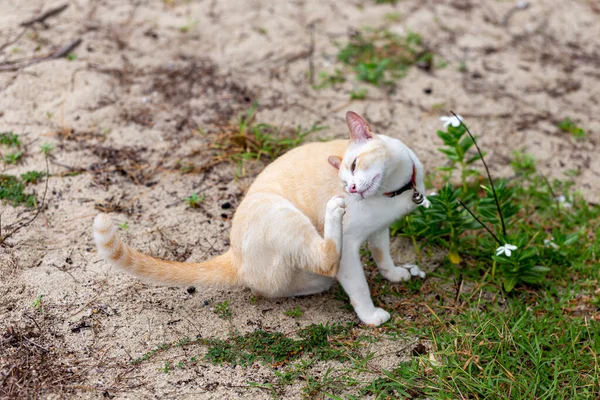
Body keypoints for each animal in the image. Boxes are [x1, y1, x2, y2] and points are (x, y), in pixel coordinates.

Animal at [94, 111, 426, 326]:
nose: (352, 190)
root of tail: (234, 257)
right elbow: (358, 287)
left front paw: (394, 274)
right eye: (345, 181)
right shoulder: (352, 246)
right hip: (283, 213)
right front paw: (370, 316)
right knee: (326, 258)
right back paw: (332, 215)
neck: (392, 193)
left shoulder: (379, 230)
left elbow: (383, 255)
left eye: (355, 166)